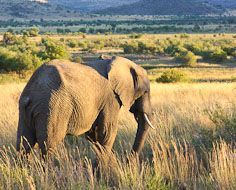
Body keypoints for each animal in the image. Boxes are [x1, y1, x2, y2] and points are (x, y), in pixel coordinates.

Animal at [16, 56, 153, 157]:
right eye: (145, 92)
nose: (129, 161)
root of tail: (31, 94)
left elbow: (95, 135)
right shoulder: (111, 99)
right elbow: (107, 133)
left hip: (26, 111)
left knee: (23, 145)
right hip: (52, 108)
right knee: (49, 146)